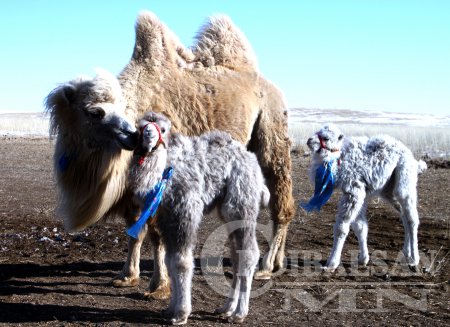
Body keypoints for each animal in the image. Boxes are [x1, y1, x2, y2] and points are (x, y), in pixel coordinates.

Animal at [45, 11, 296, 298]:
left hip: (272, 126)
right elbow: (135, 230)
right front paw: (126, 275)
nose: (131, 134)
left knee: (281, 197)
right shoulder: (133, 187)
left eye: (112, 108)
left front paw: (158, 286)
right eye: (94, 112)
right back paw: (277, 262)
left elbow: (156, 233)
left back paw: (265, 266)